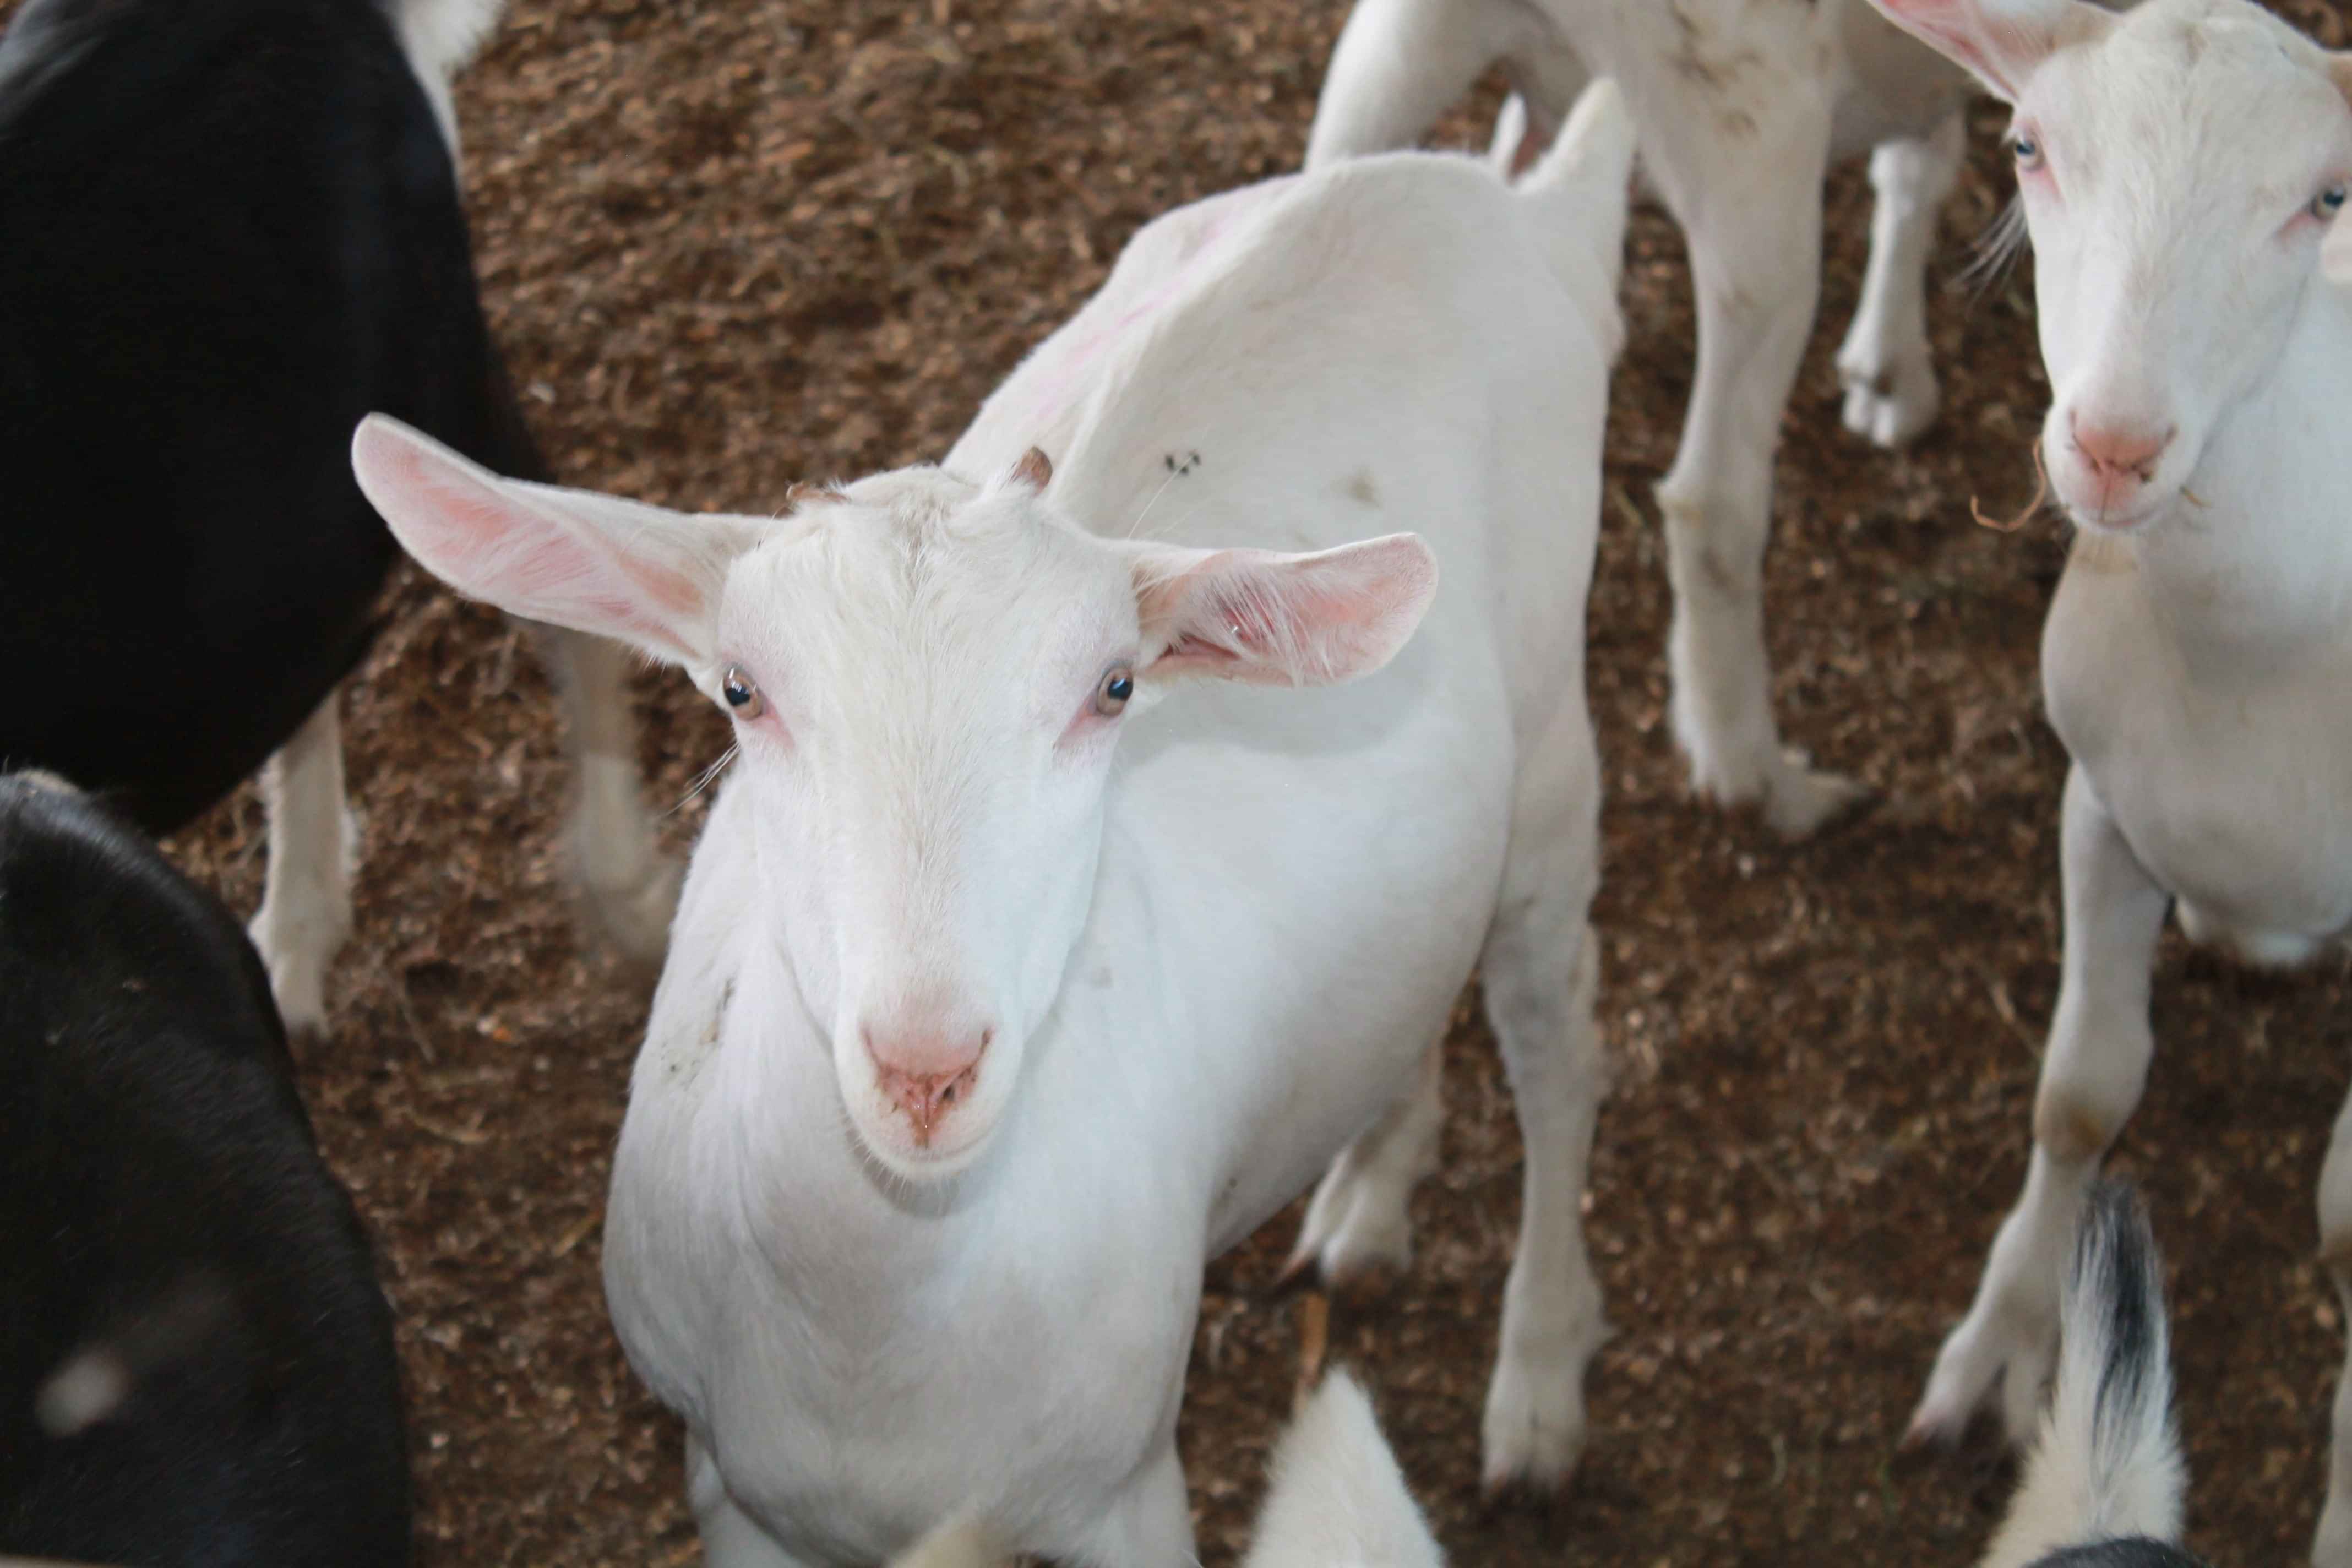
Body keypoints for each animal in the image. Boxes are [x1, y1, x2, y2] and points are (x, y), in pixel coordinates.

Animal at [350, 79, 1637, 1567]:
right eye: (740, 689)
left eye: (1115, 688)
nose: (926, 1068)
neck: (878, 1327)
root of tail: (1498, 195)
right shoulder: (732, 1490)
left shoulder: (1125, 1484)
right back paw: (1369, 1198)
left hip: (1553, 757)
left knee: (1558, 1042)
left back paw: (1538, 1386)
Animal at [1307, 0, 1988, 836]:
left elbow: (1924, 153)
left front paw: (1889, 370)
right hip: (1751, 141)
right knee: (1712, 505)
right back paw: (1759, 776)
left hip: (1397, 52)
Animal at [1865, 2, 2352, 1560]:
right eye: (2029, 147)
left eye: (2325, 196)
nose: (2114, 445)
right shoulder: (2102, 801)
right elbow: (2079, 1091)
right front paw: (2002, 1352)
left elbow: (2343, 1218)